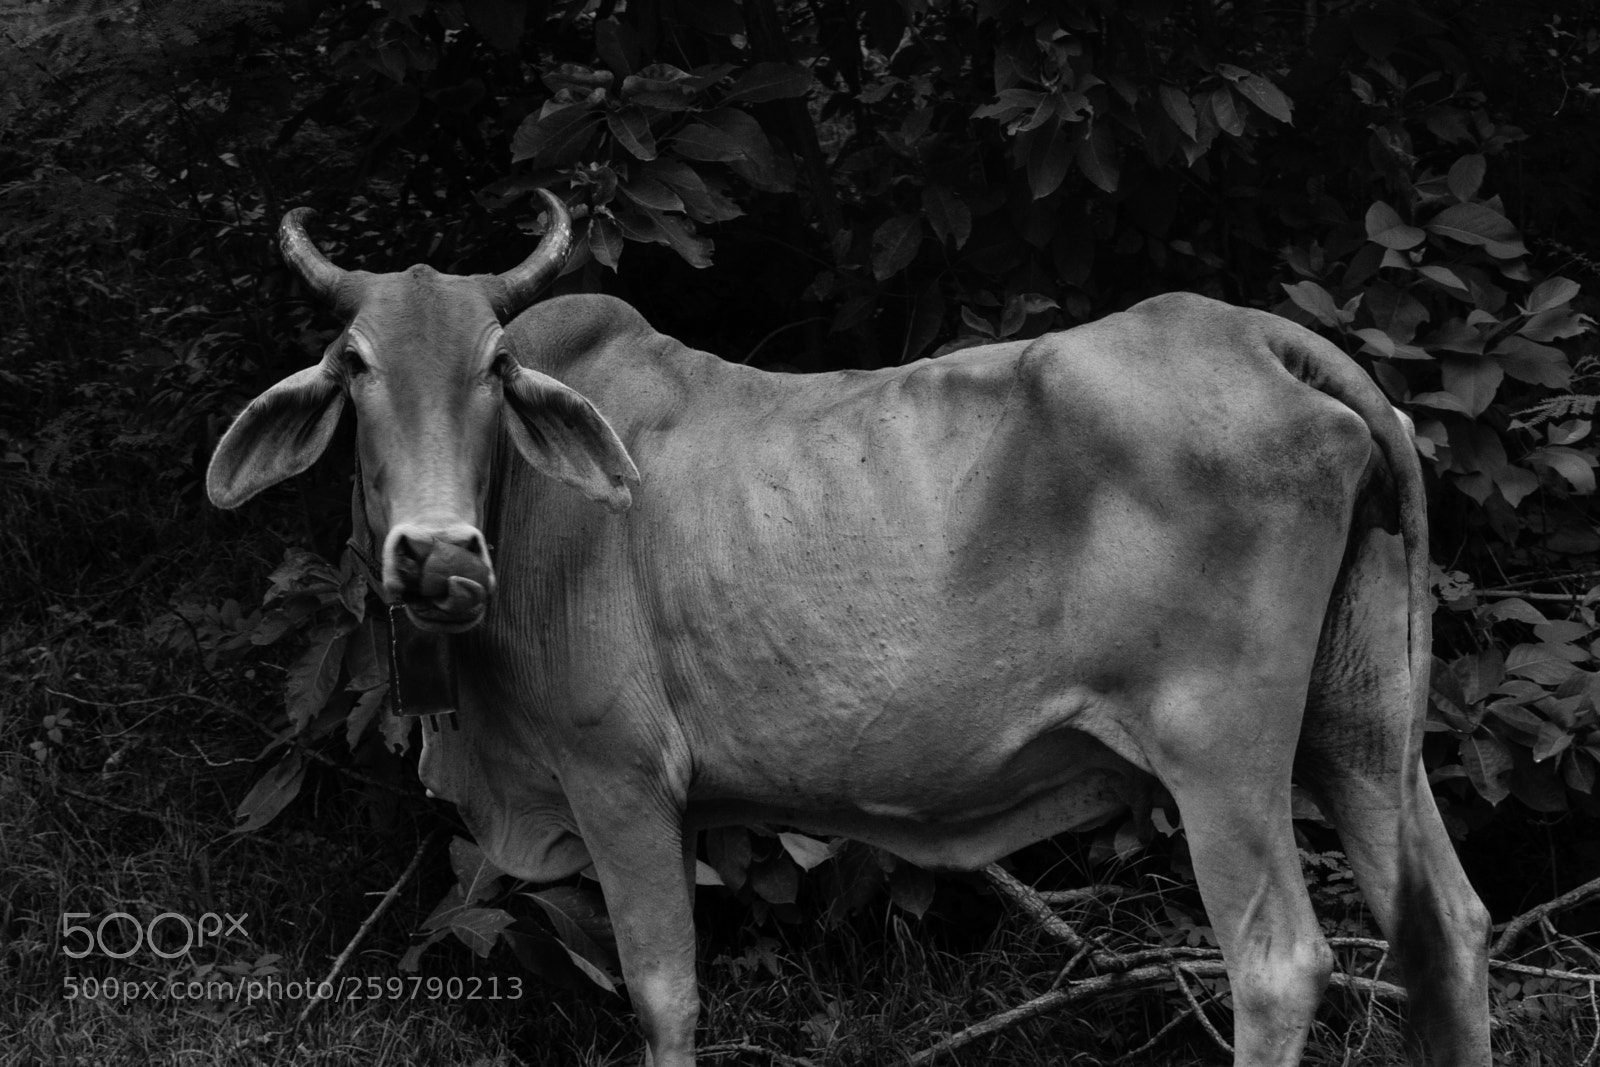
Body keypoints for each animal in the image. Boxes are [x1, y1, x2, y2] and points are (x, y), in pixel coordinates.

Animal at [207, 191, 1490, 1067]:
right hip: (1362, 728)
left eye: (496, 365)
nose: (436, 552)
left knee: (1278, 964)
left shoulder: (619, 775)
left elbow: (662, 992)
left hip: (1222, 755)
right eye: (354, 364)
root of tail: (1260, 338)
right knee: (1449, 929)